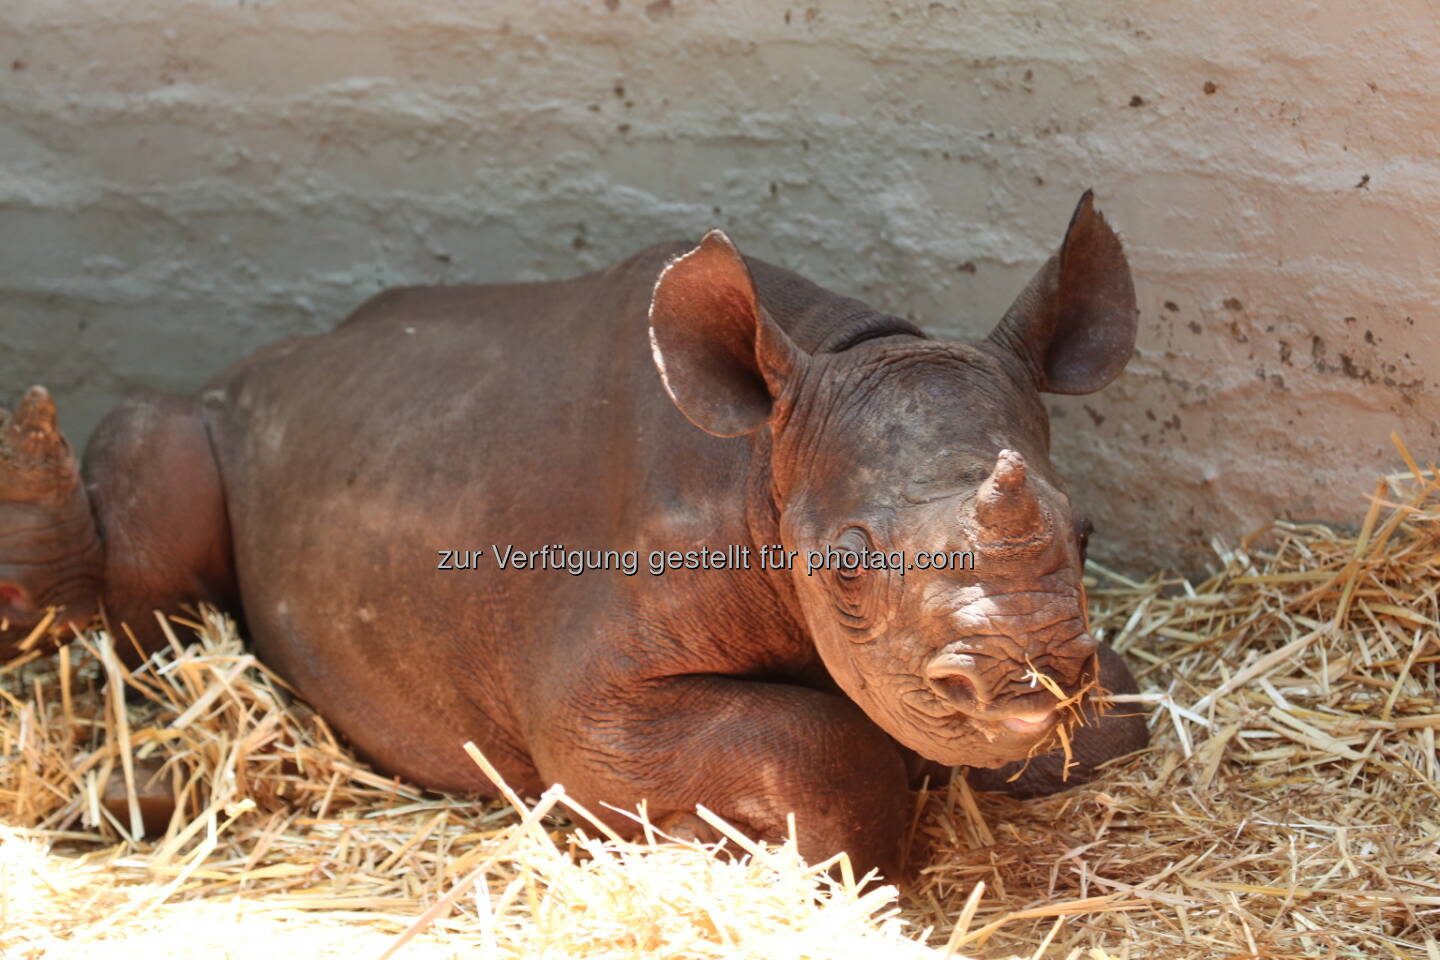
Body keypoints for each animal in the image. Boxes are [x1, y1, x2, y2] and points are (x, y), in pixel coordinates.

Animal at [0, 189, 1146, 880]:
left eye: (1088, 535)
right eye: (846, 574)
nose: (1026, 687)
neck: (765, 456)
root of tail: (245, 373)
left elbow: (1120, 714)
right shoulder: (593, 702)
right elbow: (813, 741)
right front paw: (728, 845)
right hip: (213, 429)